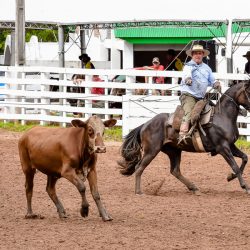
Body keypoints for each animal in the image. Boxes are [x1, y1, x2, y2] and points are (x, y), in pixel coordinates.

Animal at [118, 80, 250, 195]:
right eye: (249, 91)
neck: (222, 116)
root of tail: (145, 124)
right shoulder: (222, 147)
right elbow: (235, 166)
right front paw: (245, 186)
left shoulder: (230, 145)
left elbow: (244, 158)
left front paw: (230, 177)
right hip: (152, 151)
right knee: (139, 167)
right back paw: (139, 191)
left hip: (174, 151)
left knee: (175, 171)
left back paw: (194, 188)